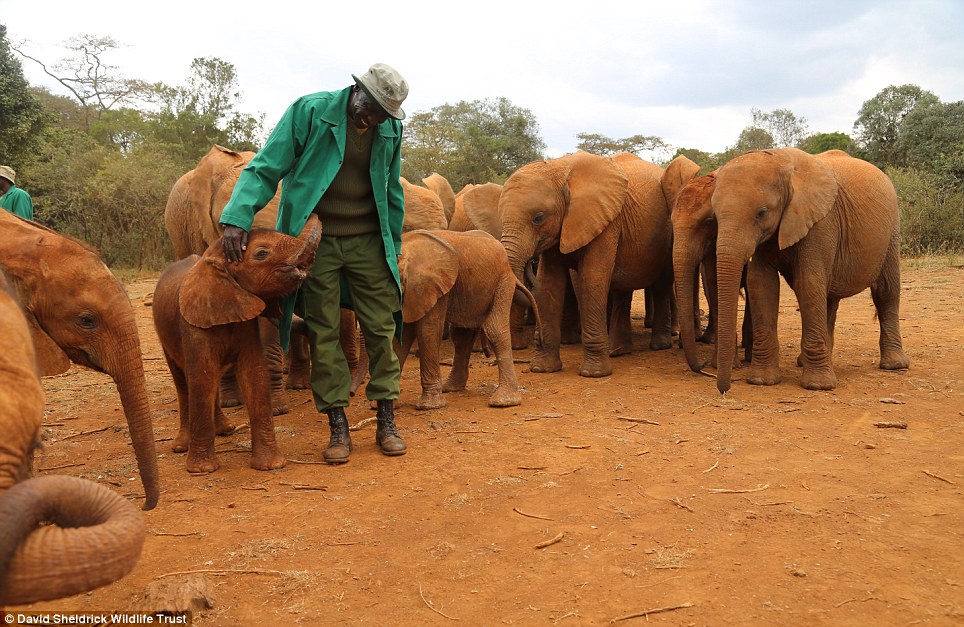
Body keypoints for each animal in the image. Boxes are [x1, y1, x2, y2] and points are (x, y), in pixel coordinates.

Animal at [153, 215, 322, 472]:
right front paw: (202, 470)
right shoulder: (192, 325)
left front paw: (271, 466)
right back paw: (182, 446)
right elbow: (201, 377)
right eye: (261, 254)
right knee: (183, 382)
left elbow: (254, 374)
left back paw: (225, 430)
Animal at [500, 152, 696, 378]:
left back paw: (659, 345)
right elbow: (549, 284)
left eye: (538, 218)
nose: (530, 261)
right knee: (623, 291)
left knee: (661, 285)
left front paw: (594, 374)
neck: (560, 170)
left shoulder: (606, 221)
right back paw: (619, 351)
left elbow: (592, 279)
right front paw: (542, 369)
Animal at [708, 148, 904, 392]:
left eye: (762, 213)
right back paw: (810, 360)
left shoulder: (821, 222)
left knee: (885, 291)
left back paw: (894, 365)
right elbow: (762, 284)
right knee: (828, 297)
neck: (781, 161)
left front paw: (818, 386)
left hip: (891, 231)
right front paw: (762, 381)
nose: (724, 389)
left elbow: (808, 282)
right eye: (715, 216)